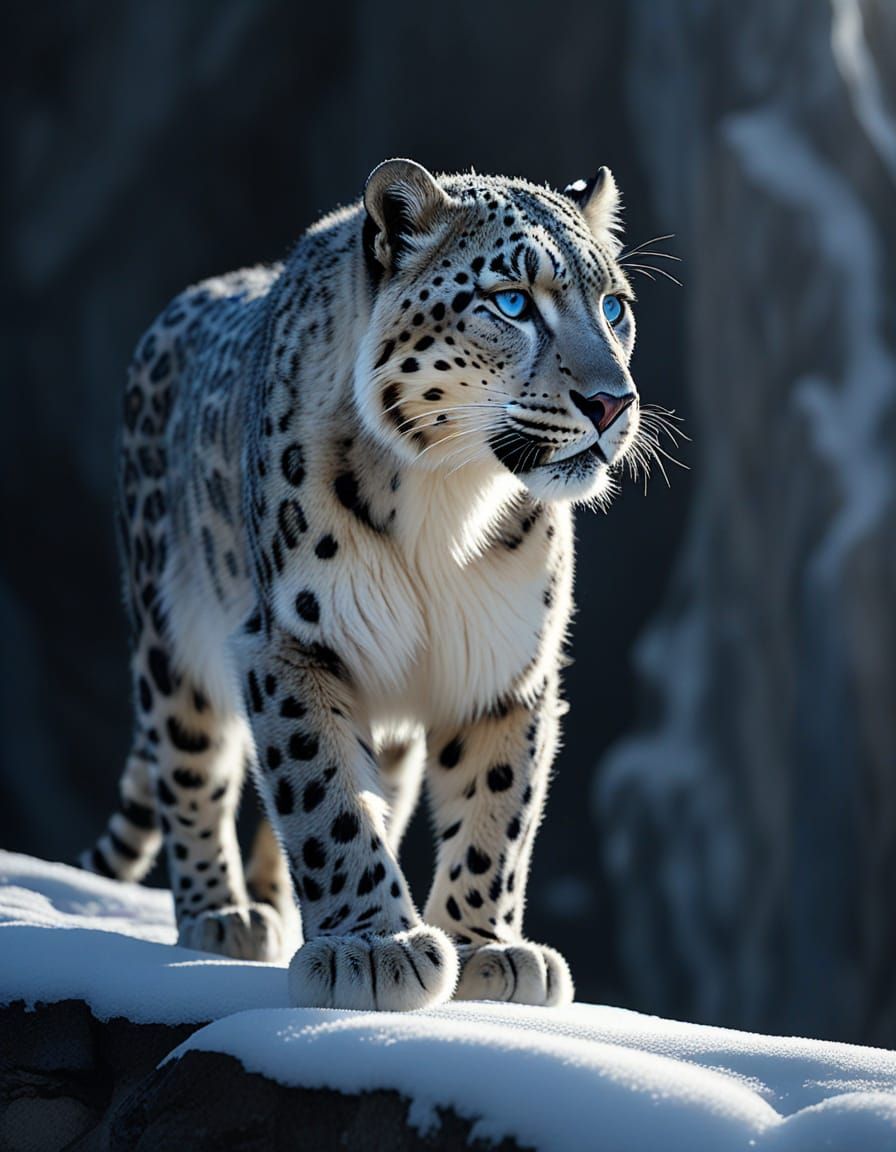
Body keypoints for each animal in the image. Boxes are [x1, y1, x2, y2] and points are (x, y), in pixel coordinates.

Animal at [82, 158, 643, 1012]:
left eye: (615, 306)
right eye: (512, 301)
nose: (613, 402)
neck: (450, 504)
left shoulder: (510, 665)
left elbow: (497, 806)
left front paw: (484, 947)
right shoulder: (292, 642)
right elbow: (324, 796)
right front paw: (374, 947)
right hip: (169, 636)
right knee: (193, 766)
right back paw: (224, 914)